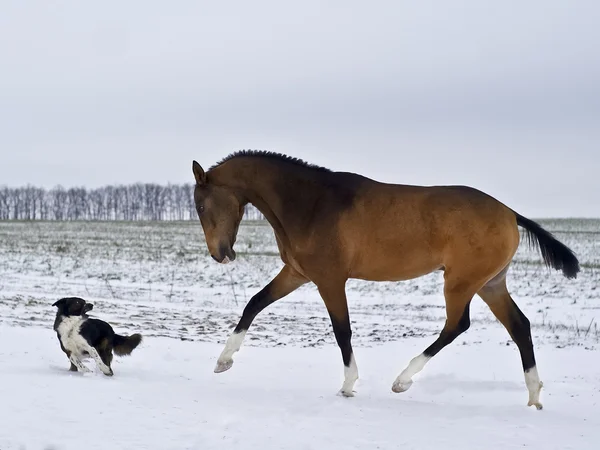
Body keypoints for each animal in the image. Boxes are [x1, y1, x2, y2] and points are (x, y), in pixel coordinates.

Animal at [190, 149, 580, 410]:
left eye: (201, 206)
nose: (220, 254)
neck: (310, 204)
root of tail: (510, 214)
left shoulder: (330, 279)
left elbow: (342, 329)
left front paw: (348, 385)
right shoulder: (297, 274)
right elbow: (254, 303)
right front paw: (223, 361)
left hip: (461, 282)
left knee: (458, 325)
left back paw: (402, 380)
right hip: (490, 284)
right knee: (520, 326)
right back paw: (534, 396)